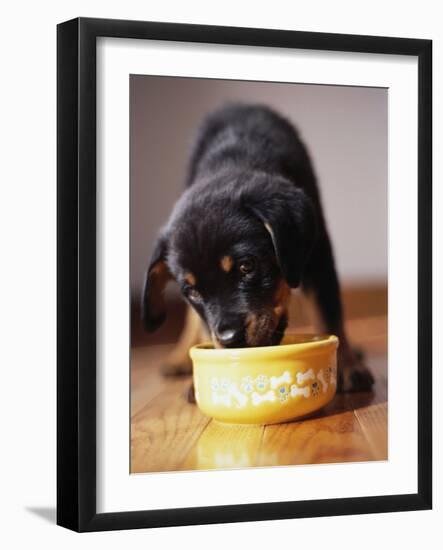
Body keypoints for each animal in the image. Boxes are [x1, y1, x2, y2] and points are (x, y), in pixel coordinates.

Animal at [141, 104, 374, 396]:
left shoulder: (318, 252)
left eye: (247, 266)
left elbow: (328, 312)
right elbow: (203, 325)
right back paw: (178, 357)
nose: (230, 339)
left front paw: (346, 367)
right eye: (192, 292)